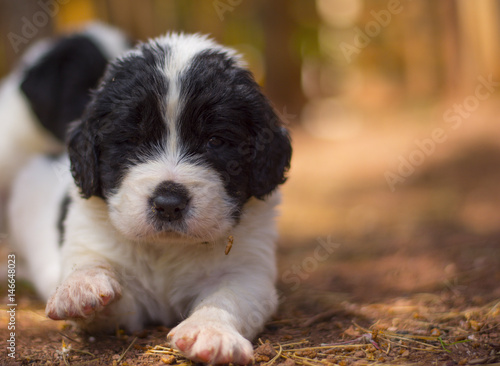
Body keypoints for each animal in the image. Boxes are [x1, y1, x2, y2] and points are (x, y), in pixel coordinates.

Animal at [8, 33, 292, 364]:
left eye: (215, 140)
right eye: (132, 140)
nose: (168, 204)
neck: (165, 249)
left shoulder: (249, 269)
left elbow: (229, 296)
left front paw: (211, 331)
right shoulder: (112, 280)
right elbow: (93, 265)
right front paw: (81, 286)